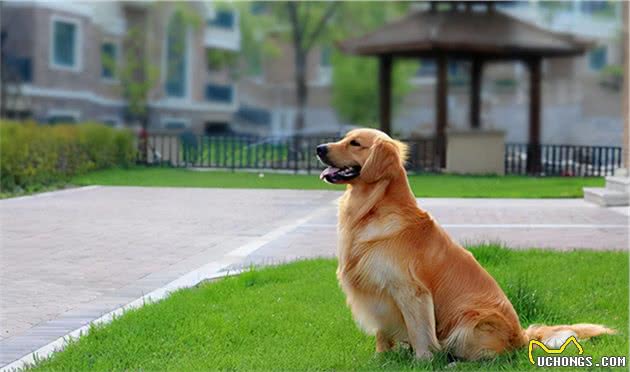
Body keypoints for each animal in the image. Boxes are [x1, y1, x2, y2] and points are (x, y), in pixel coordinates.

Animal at [318, 128, 616, 360]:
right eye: (344, 138)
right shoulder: (376, 289)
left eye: (355, 143)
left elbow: (420, 333)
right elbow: (382, 332)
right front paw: (381, 358)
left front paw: (422, 361)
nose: (319, 148)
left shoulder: (410, 290)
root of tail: (521, 335)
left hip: (469, 324)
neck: (373, 209)